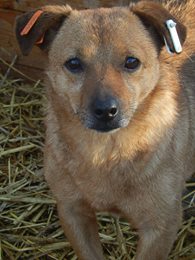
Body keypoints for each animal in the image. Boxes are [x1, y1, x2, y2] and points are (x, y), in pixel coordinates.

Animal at [14, 1, 195, 258]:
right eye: (73, 64)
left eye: (132, 62)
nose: (106, 111)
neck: (105, 153)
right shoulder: (72, 212)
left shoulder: (160, 228)